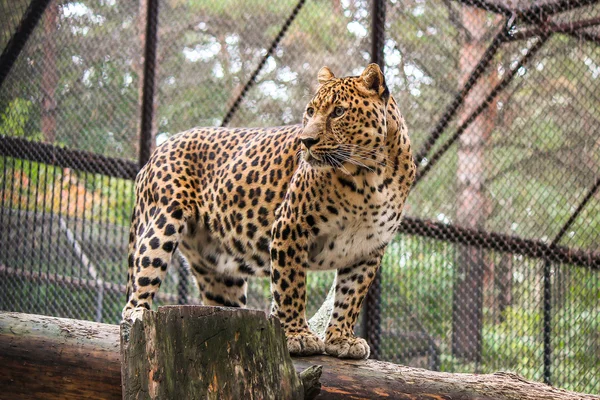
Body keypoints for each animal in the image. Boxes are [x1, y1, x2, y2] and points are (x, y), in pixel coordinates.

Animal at [120, 63, 412, 360]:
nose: (306, 141)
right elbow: (291, 285)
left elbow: (350, 297)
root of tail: (155, 153)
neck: (369, 175)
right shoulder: (290, 226)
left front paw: (342, 339)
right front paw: (297, 335)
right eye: (310, 111)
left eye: (338, 111)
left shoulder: (368, 248)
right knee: (137, 289)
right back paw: (137, 316)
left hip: (218, 271)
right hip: (160, 225)